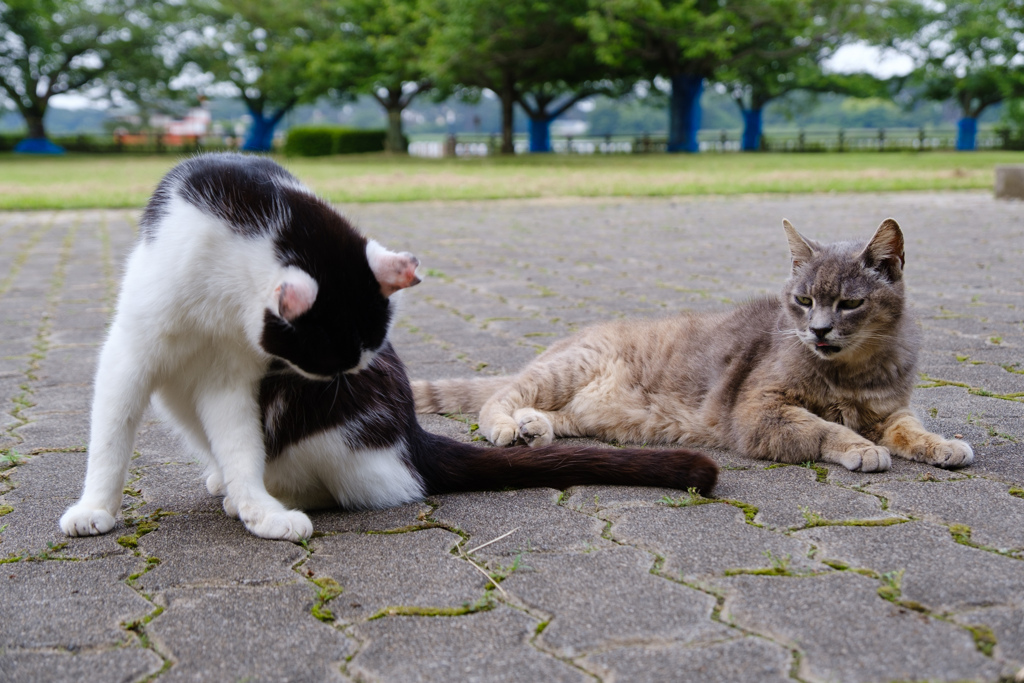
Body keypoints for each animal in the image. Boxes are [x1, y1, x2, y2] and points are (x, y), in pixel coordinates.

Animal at [59, 153, 716, 540]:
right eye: (323, 363)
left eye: (342, 366)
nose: (337, 383)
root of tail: (414, 435)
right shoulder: (134, 351)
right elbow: (111, 439)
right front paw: (97, 506)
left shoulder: (234, 378)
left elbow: (243, 446)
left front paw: (261, 510)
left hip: (338, 433)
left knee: (363, 482)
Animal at [413, 222, 974, 473]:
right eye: (804, 299)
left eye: (851, 303)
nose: (817, 331)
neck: (850, 374)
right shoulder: (759, 411)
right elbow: (824, 427)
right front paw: (859, 446)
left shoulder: (891, 409)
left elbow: (911, 429)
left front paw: (940, 444)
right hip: (565, 369)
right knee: (496, 399)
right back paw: (509, 425)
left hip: (590, 410)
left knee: (555, 415)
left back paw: (536, 428)